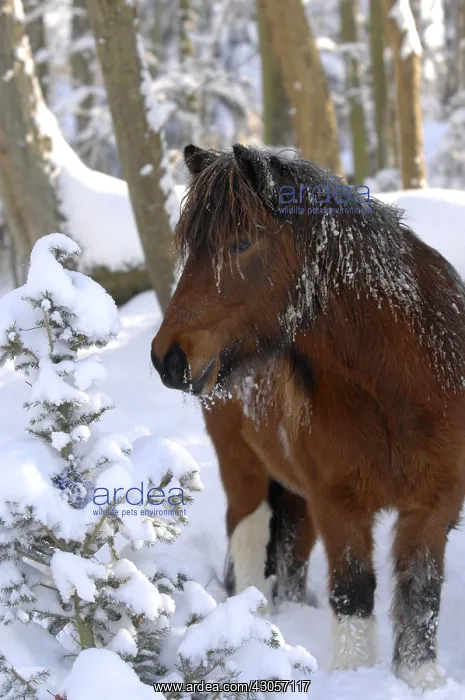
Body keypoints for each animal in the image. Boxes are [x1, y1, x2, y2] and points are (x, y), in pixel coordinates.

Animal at [151, 143, 465, 690]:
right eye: (190, 248)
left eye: (242, 244)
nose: (167, 358)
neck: (398, 393)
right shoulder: (339, 505)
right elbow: (355, 592)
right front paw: (353, 675)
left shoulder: (435, 504)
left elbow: (420, 593)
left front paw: (420, 680)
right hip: (245, 469)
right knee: (249, 539)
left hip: (295, 490)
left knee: (292, 554)